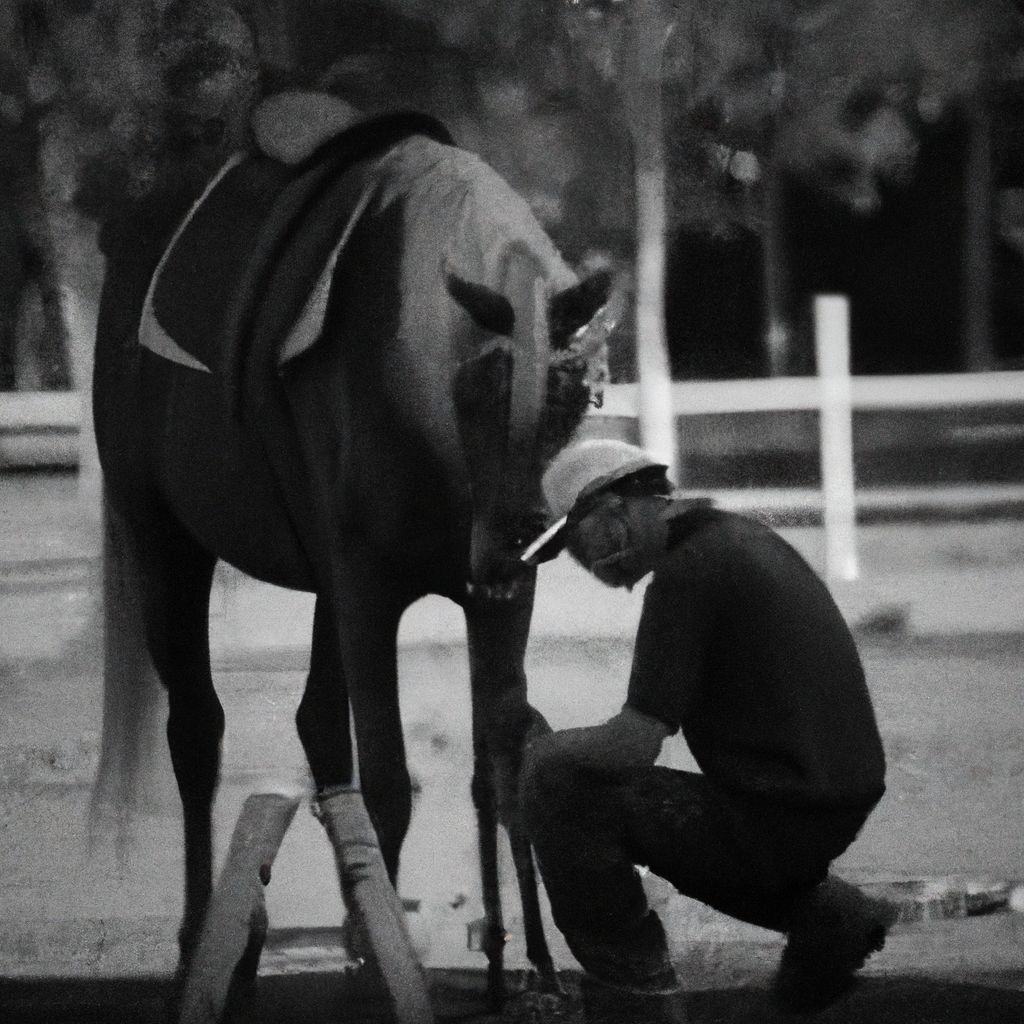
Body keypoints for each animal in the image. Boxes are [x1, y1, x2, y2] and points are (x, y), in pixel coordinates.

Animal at [88, 105, 610, 1007]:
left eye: (572, 392)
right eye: (476, 392)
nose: (515, 536)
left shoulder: (500, 599)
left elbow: (502, 763)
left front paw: (531, 969)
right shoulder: (369, 590)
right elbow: (392, 783)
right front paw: (386, 968)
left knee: (320, 731)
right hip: (163, 543)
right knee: (196, 732)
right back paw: (204, 946)